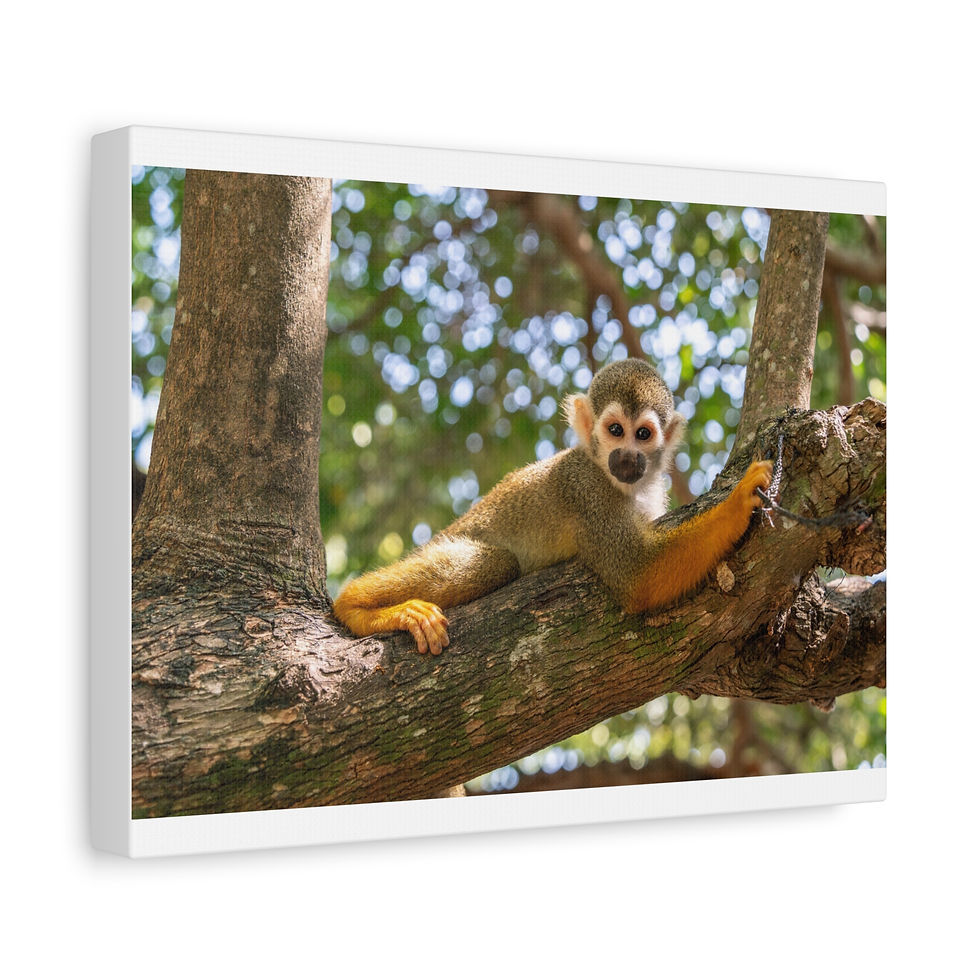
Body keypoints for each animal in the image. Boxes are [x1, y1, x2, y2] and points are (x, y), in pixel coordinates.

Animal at [333, 358, 772, 654]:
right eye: (616, 431)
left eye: (644, 435)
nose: (628, 458)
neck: (606, 472)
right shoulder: (586, 491)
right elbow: (638, 575)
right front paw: (739, 500)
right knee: (496, 563)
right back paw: (355, 605)